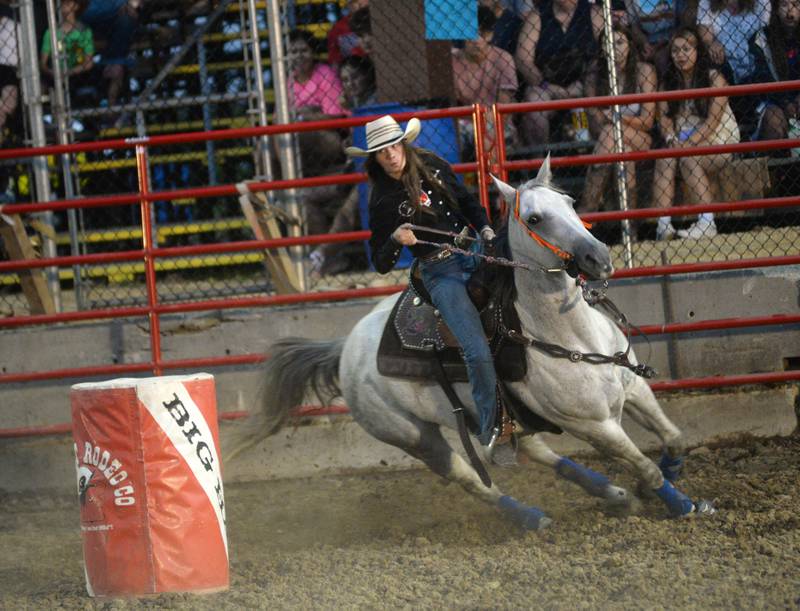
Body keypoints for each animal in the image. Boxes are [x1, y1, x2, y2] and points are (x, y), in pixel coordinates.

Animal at [234, 159, 716, 532]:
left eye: (570, 204)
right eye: (534, 219)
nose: (598, 257)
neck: (569, 336)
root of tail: (346, 347)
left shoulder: (633, 389)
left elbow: (673, 439)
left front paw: (663, 482)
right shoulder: (592, 424)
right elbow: (643, 462)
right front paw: (680, 502)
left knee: (532, 450)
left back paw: (613, 493)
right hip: (411, 435)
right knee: (473, 479)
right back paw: (529, 516)